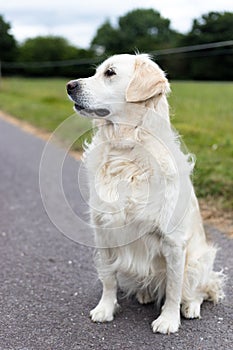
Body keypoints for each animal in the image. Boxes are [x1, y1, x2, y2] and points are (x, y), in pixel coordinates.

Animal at [66, 54, 225, 334]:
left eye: (110, 73)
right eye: (96, 71)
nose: (69, 85)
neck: (126, 152)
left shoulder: (174, 242)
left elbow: (173, 287)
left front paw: (168, 320)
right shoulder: (103, 232)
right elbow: (108, 279)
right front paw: (105, 309)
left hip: (200, 261)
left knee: (197, 290)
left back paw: (191, 307)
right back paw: (145, 294)